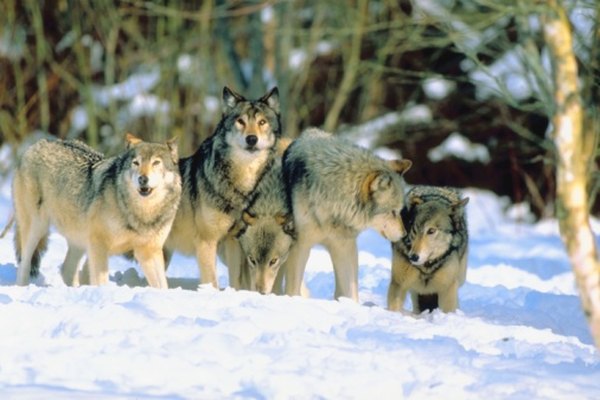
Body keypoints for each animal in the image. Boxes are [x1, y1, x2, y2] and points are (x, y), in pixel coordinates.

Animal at [11, 134, 180, 288]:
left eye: (156, 162)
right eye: (136, 163)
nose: (142, 179)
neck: (143, 214)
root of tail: (37, 143)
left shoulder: (149, 252)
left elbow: (162, 286)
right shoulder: (99, 245)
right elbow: (101, 282)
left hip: (79, 240)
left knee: (67, 270)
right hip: (37, 229)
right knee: (24, 265)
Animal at [164, 86, 282, 288]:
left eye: (262, 122)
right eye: (241, 121)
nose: (252, 139)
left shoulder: (234, 241)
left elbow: (236, 280)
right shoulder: (206, 242)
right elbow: (211, 281)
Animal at [282, 128, 412, 300]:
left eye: (399, 211)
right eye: (392, 212)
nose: (404, 235)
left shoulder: (345, 247)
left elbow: (351, 292)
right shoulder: (300, 245)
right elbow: (293, 288)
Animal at [386, 186, 472, 314]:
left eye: (431, 231)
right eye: (415, 230)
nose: (413, 257)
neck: (426, 267)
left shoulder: (447, 289)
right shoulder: (399, 283)